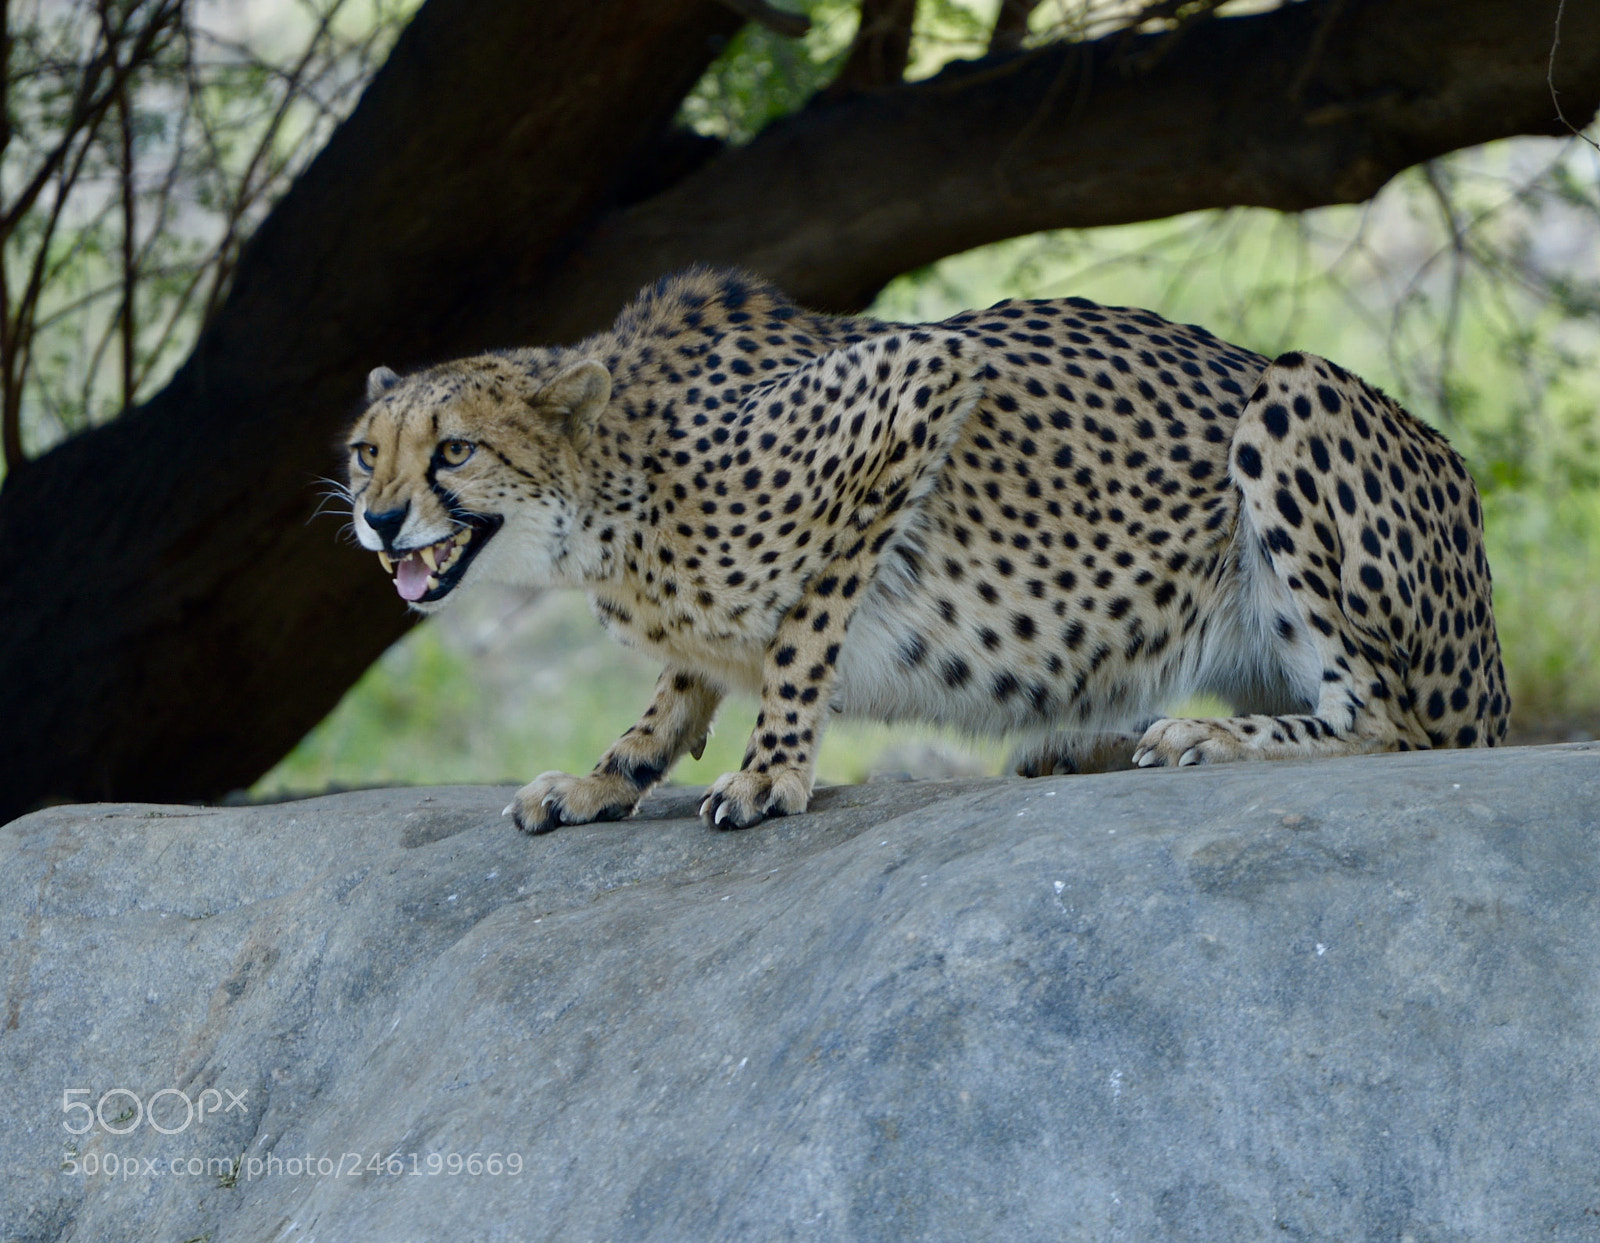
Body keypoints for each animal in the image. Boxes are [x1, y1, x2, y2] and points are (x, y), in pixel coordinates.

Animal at [344, 267, 1509, 832]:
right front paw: (602, 779)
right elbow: (677, 688)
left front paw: (772, 774)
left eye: (453, 449)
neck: (608, 493)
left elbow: (800, 636)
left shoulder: (919, 376)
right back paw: (1086, 743)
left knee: (1395, 726)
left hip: (1292, 391)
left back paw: (1204, 737)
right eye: (365, 453)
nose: (380, 520)